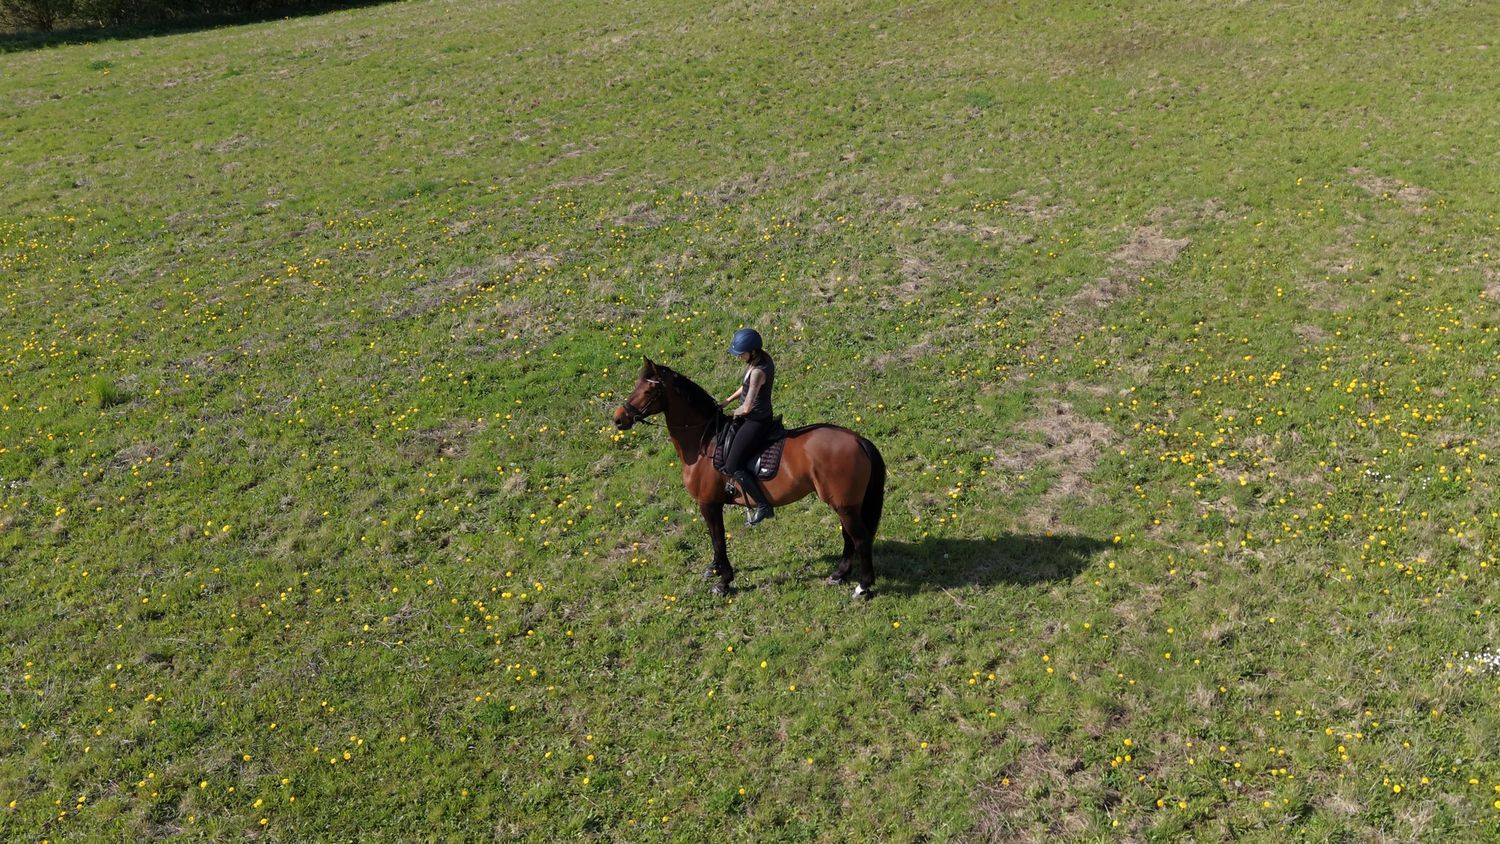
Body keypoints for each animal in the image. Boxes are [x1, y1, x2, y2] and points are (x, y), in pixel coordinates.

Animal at [612, 358, 886, 599]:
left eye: (648, 390)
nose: (618, 418)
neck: (705, 442)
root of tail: (857, 440)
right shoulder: (710, 505)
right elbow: (714, 538)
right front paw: (714, 569)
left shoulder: (709, 504)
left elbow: (718, 540)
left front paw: (724, 581)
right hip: (845, 505)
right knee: (849, 537)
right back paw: (839, 575)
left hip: (845, 505)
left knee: (860, 539)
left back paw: (863, 587)